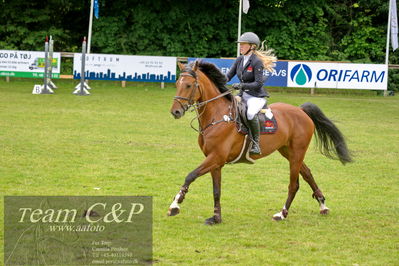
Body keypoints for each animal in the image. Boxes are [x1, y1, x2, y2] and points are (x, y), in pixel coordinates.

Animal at [167, 60, 352, 224]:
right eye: (177, 83)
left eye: (189, 85)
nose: (175, 112)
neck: (217, 116)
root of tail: (300, 110)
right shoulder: (215, 161)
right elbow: (216, 191)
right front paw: (216, 218)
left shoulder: (216, 157)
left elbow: (190, 176)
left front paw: (175, 205)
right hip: (288, 151)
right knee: (307, 174)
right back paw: (322, 206)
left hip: (297, 152)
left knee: (294, 184)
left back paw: (282, 214)